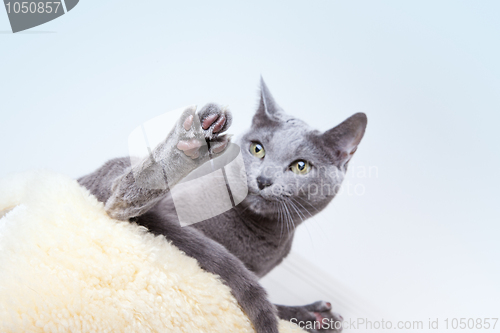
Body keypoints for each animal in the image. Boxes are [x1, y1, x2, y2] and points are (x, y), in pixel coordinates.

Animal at [78, 78, 368, 332]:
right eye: (258, 149)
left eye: (301, 166)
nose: (264, 180)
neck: (255, 235)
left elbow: (274, 305)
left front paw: (313, 317)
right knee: (116, 199)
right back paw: (190, 143)